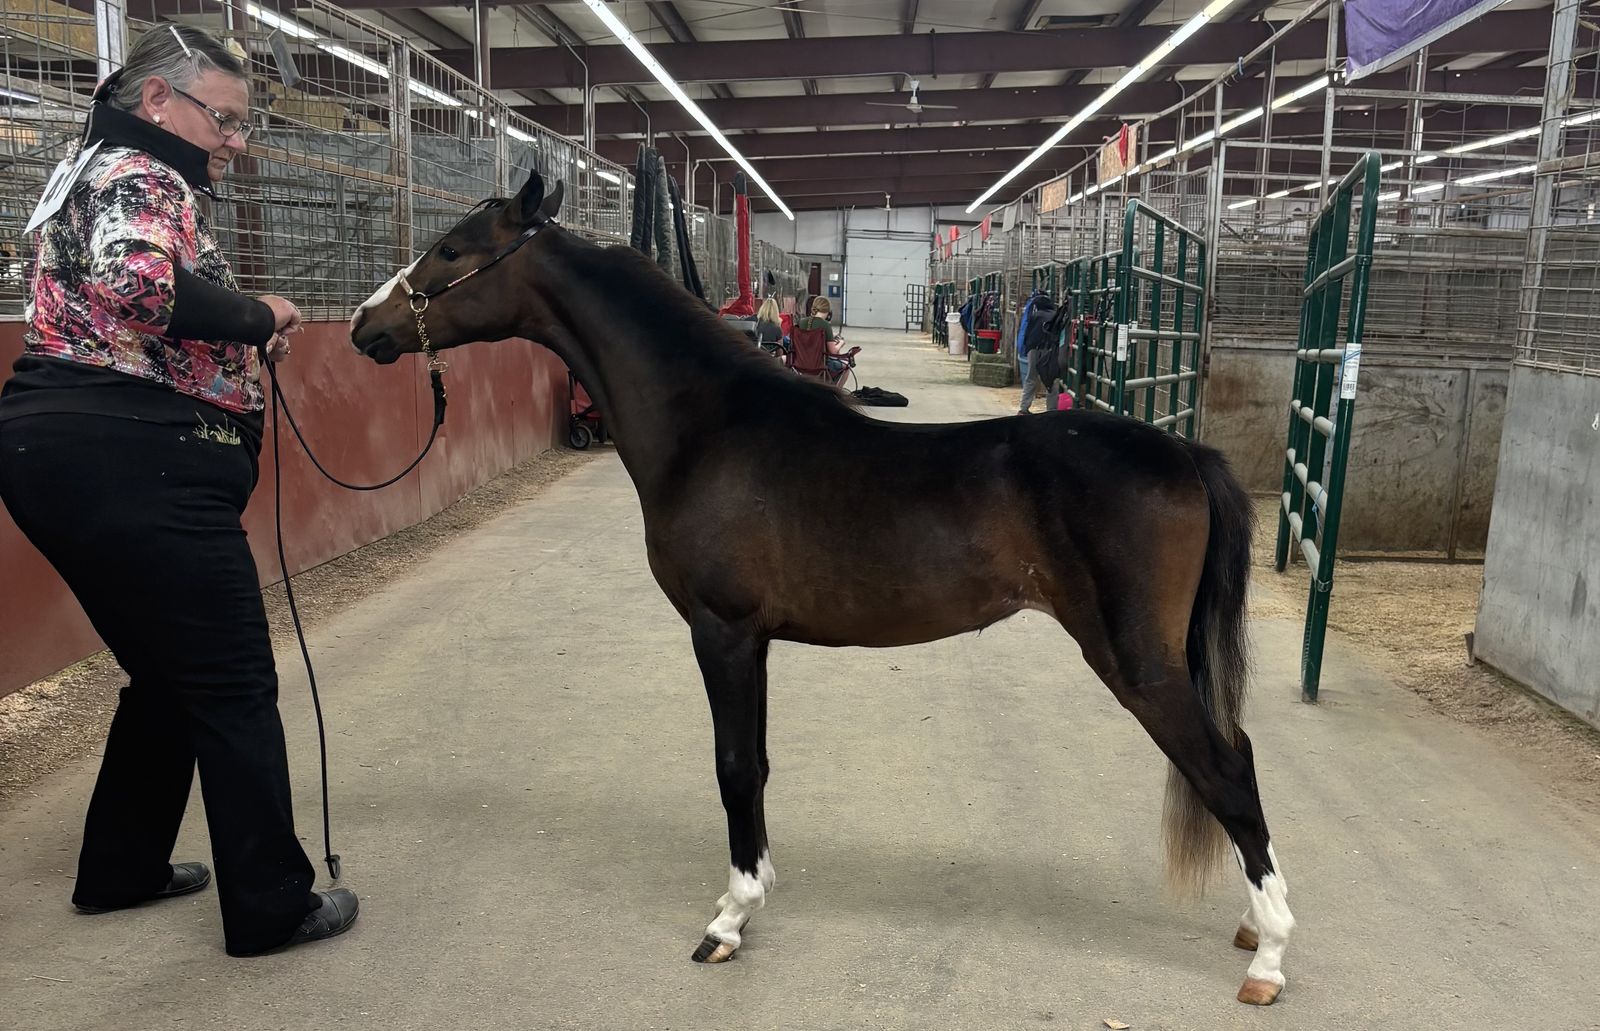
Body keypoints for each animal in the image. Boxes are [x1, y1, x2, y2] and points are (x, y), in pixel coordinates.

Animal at [348, 169, 1296, 1007]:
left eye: (452, 248)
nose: (364, 325)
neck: (708, 424)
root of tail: (1185, 451)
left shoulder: (721, 630)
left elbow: (733, 767)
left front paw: (727, 921)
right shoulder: (755, 640)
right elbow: (759, 764)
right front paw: (751, 892)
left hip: (1138, 661)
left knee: (1227, 768)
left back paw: (1270, 954)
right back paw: (1255, 928)